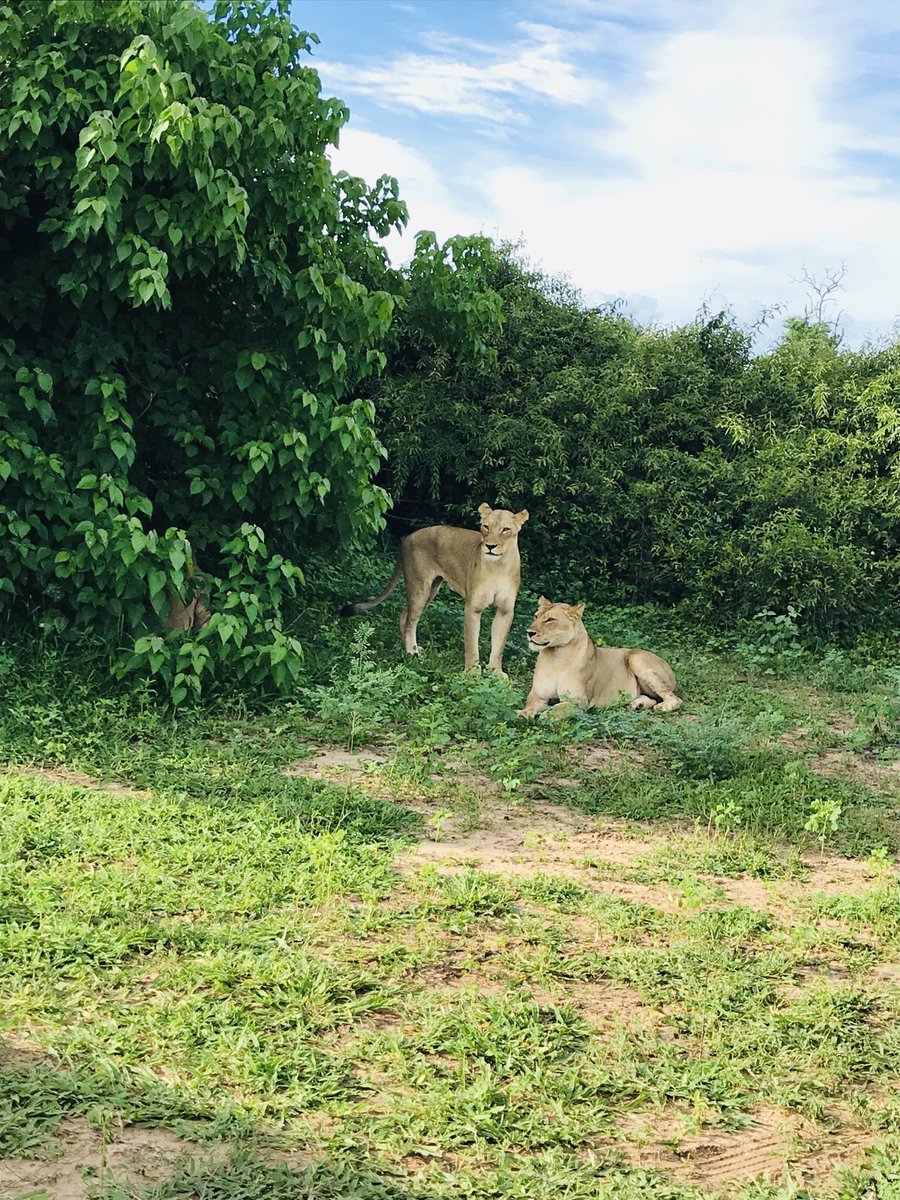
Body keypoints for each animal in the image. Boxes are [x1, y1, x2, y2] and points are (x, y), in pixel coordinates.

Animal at [343, 504, 528, 676]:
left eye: (506, 529)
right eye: (486, 527)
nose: (490, 546)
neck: (499, 567)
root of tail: (407, 538)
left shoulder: (505, 610)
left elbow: (499, 645)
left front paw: (496, 672)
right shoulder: (473, 607)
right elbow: (471, 643)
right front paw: (471, 673)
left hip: (431, 591)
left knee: (404, 615)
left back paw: (410, 648)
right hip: (420, 587)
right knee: (411, 621)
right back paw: (412, 652)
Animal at [520, 597, 681, 715]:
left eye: (550, 620)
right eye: (535, 616)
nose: (529, 632)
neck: (557, 657)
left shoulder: (579, 701)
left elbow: (560, 708)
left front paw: (545, 716)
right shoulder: (538, 694)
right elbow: (530, 705)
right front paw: (523, 714)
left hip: (636, 659)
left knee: (675, 699)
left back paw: (662, 707)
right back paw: (638, 704)